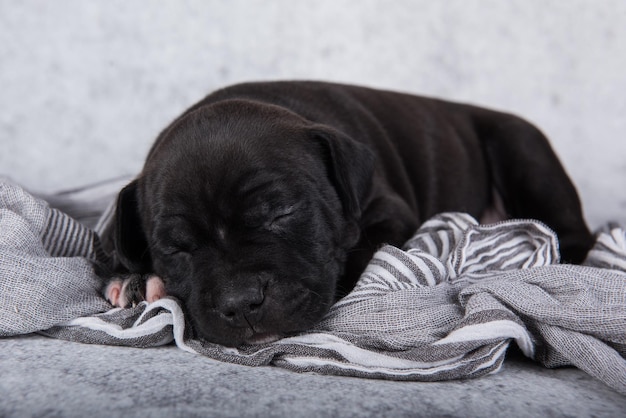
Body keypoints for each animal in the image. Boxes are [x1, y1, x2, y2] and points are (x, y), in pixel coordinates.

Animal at [100, 81, 592, 346]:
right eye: (175, 249)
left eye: (281, 214)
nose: (241, 303)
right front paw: (138, 279)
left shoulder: (388, 210)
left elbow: (363, 253)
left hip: (524, 149)